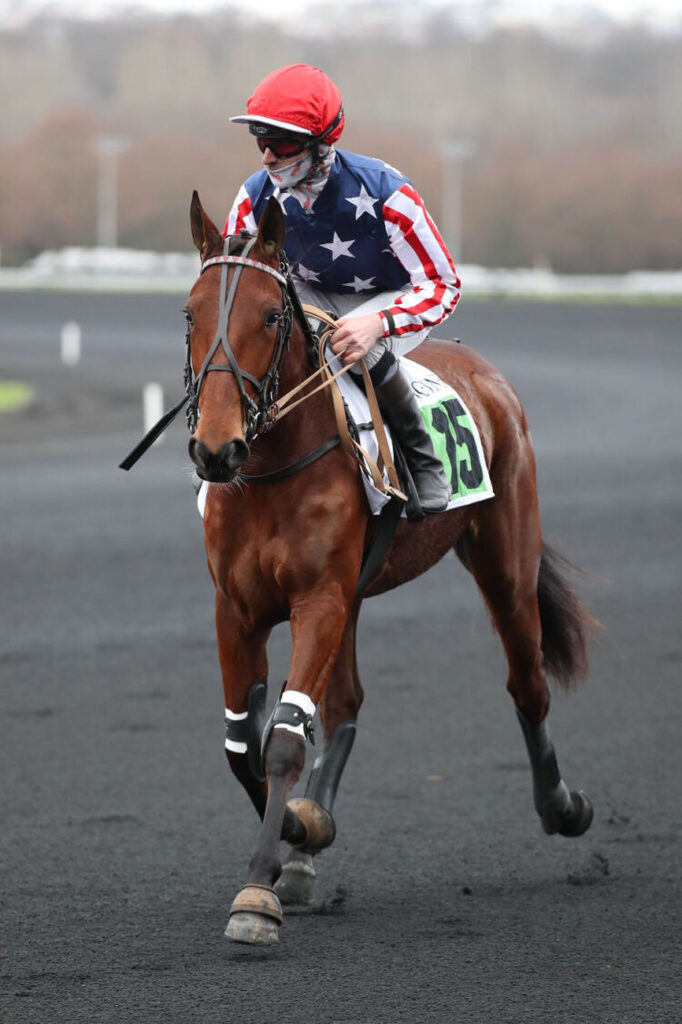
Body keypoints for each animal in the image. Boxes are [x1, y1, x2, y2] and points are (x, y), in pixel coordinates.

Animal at [183, 191, 595, 945]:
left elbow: (282, 742)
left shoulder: (319, 598)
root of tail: (484, 371)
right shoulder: (239, 607)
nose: (216, 450)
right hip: (355, 598)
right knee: (345, 702)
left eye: (270, 315)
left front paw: (257, 890)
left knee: (527, 684)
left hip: (505, 565)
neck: (272, 471)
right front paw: (299, 833)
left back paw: (562, 805)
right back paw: (305, 855)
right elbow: (242, 745)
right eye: (191, 313)